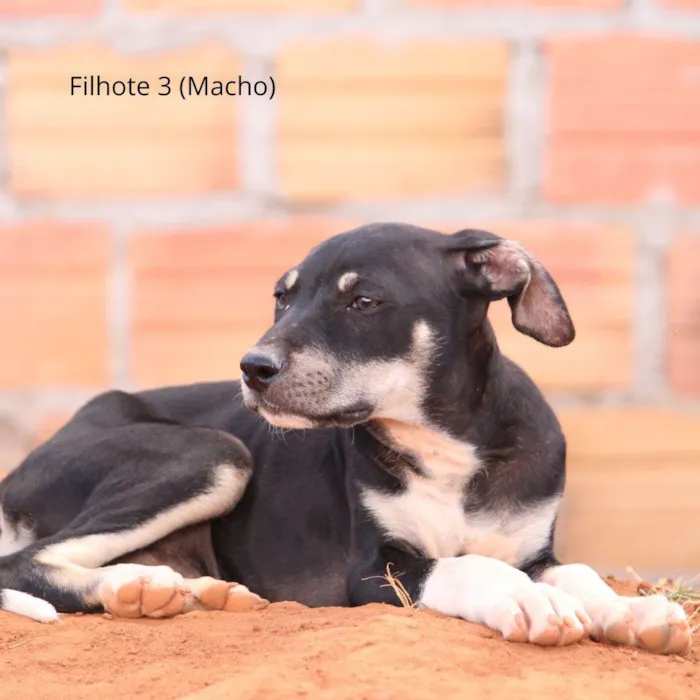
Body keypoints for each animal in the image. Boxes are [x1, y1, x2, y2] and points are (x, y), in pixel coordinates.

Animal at [0, 226, 688, 656]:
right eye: (282, 298)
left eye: (364, 301)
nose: (252, 369)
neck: (451, 448)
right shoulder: (374, 572)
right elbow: (466, 565)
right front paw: (524, 600)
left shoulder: (535, 547)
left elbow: (576, 572)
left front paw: (635, 613)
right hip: (215, 452)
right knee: (24, 562)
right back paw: (134, 588)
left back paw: (173, 590)